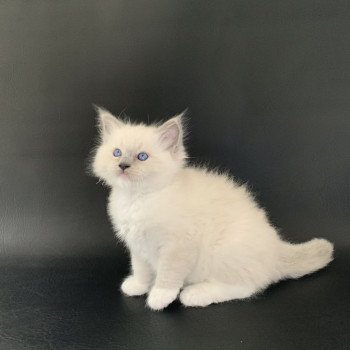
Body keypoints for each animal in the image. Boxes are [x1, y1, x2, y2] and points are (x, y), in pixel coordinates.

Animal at [90, 106, 334, 308]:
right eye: (117, 153)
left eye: (142, 157)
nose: (123, 165)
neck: (137, 199)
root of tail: (276, 248)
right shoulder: (137, 246)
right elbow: (140, 269)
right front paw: (138, 286)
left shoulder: (178, 245)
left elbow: (168, 274)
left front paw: (159, 297)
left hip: (224, 254)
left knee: (246, 287)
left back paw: (195, 295)